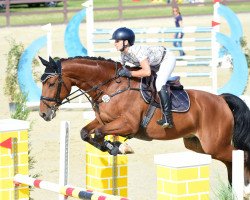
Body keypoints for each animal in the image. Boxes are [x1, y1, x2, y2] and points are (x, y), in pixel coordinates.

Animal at [38, 55, 250, 185]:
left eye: (51, 83)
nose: (43, 114)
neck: (110, 88)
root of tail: (221, 100)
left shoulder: (127, 124)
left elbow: (98, 133)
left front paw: (119, 147)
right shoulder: (104, 121)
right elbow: (85, 132)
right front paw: (114, 147)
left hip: (215, 144)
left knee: (242, 156)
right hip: (198, 145)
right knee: (231, 160)